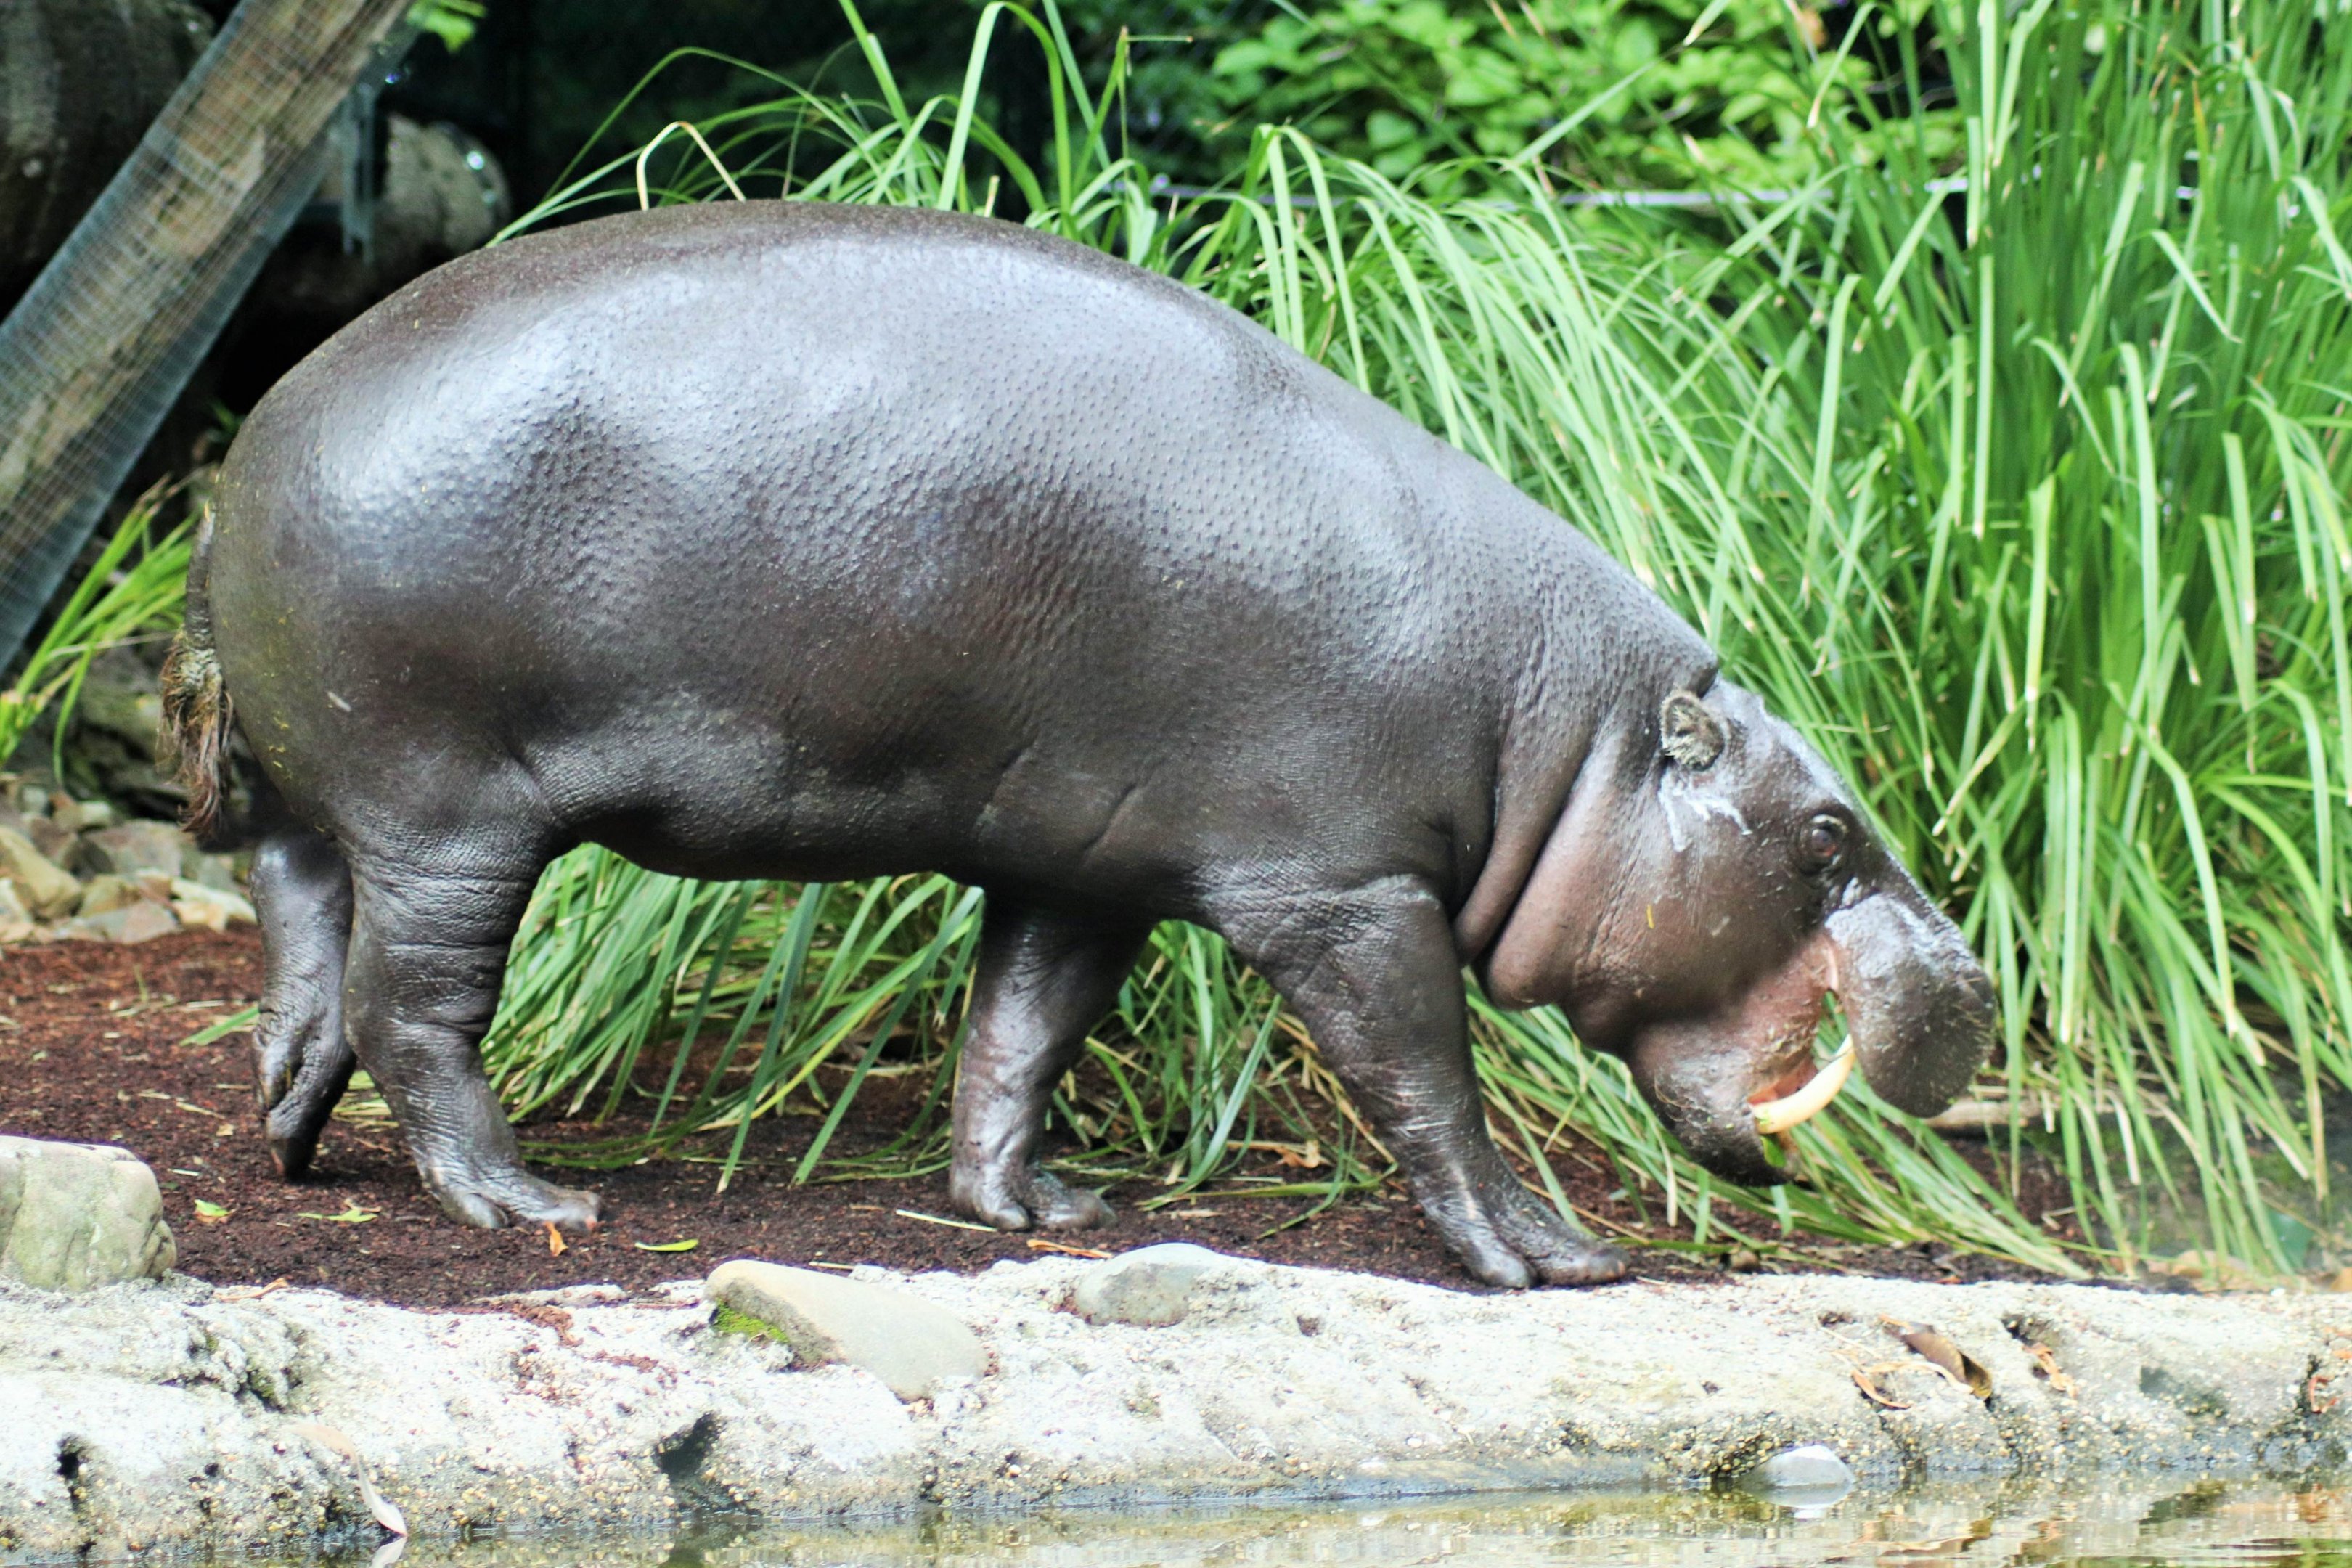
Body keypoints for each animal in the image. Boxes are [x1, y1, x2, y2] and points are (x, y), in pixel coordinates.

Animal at [161, 201, 1993, 1288]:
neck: (1557, 733)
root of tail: (241, 457)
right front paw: (1542, 1255)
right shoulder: (1340, 889)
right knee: (417, 1008)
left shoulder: (1089, 860)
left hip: (335, 812)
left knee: (306, 962)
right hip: (450, 810)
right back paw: (528, 1205)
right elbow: (1425, 1072)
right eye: (1827, 834)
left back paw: (293, 1143)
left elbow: (1020, 1033)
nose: (1975, 978)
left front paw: (1035, 1216)